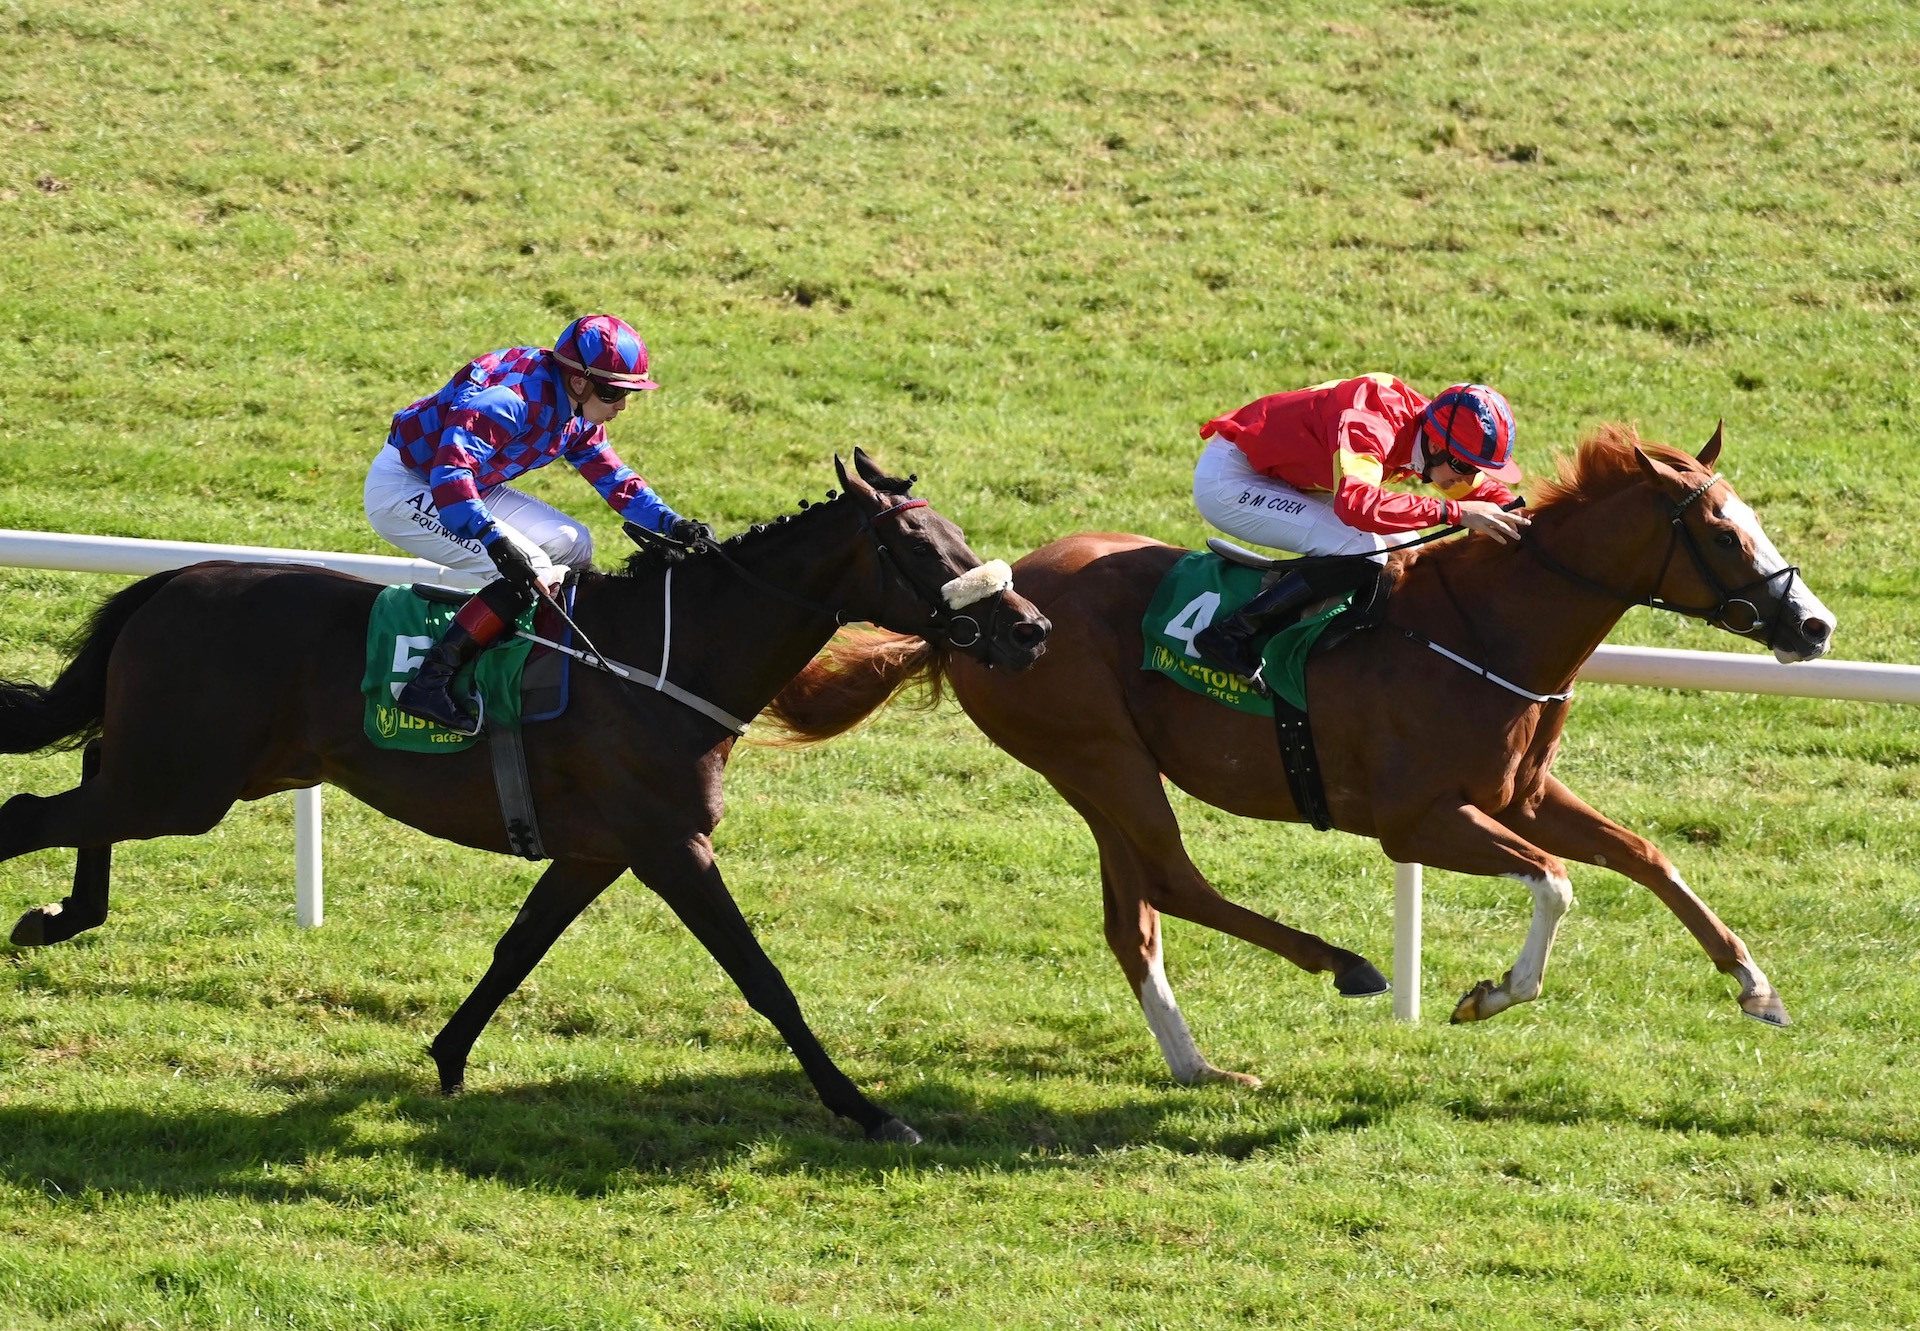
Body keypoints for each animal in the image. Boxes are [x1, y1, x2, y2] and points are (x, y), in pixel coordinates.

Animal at [0, 451, 1052, 1137]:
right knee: (29, 814)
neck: (662, 660)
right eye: (924, 548)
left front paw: (447, 1057)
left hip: (203, 770)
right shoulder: (672, 846)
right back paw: (50, 918)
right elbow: (764, 977)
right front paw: (867, 1108)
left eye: (960, 535)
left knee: (86, 776)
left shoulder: (598, 849)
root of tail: (169, 583)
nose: (1031, 627)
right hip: (184, 781)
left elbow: (517, 951)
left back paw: (61, 914)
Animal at [768, 430, 1843, 1083]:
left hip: (1098, 771)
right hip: (1099, 755)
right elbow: (1556, 881)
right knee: (1175, 881)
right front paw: (1492, 993)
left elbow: (1645, 856)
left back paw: (1197, 1063)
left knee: (1135, 915)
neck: (1483, 627)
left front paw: (1755, 985)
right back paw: (1344, 964)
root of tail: (983, 609)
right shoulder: (1417, 821)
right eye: (1720, 531)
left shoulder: (1521, 792)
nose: (1814, 624)